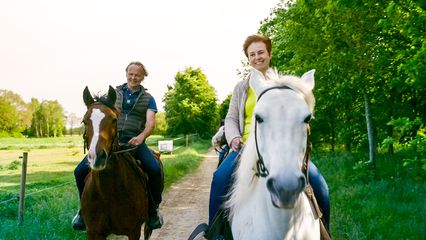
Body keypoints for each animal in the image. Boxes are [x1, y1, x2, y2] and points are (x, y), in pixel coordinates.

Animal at [80, 85, 159, 239]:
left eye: (114, 120)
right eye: (85, 121)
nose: (97, 157)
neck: (107, 193)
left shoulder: (134, 231)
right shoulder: (93, 232)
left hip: (147, 226)